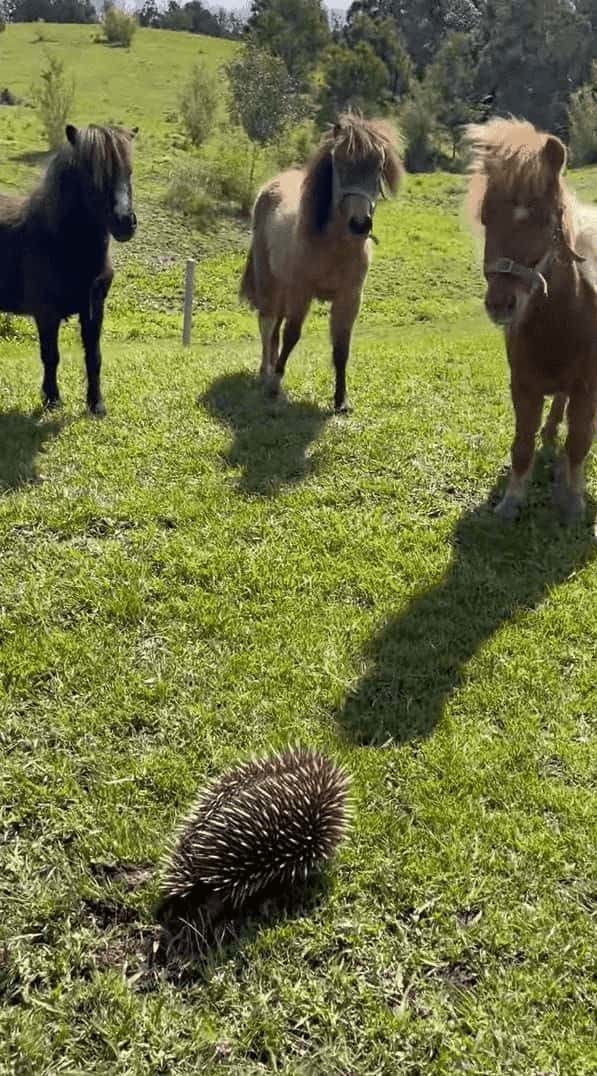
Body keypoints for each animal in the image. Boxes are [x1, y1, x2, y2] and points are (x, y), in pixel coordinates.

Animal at [0, 123, 136, 413]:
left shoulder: (94, 308)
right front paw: (52, 399)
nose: (125, 223)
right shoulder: (46, 312)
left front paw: (96, 404)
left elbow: (94, 356)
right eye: (93, 174)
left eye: (128, 171)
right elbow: (50, 356)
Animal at [240, 111, 404, 408]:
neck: (333, 247)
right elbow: (292, 335)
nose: (360, 224)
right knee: (267, 324)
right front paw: (275, 383)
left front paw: (341, 400)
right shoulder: (301, 292)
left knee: (274, 328)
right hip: (270, 282)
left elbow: (341, 347)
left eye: (378, 167)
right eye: (339, 163)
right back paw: (265, 373)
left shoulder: (349, 299)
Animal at [466, 117, 597, 520]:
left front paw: (573, 501)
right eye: (486, 216)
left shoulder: (588, 388)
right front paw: (511, 502)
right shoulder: (523, 385)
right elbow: (522, 444)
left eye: (544, 217)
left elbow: (579, 441)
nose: (501, 305)